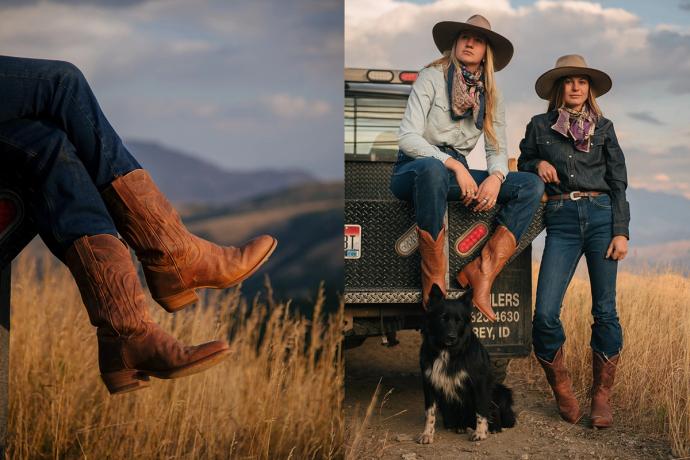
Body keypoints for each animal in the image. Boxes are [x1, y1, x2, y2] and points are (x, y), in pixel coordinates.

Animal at [416, 284, 512, 442]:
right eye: (443, 318)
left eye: (459, 320)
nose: (451, 337)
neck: (447, 351)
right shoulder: (429, 383)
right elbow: (429, 413)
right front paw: (427, 434)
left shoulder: (479, 382)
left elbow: (481, 409)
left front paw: (480, 432)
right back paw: (460, 426)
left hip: (499, 391)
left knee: (493, 410)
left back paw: (493, 428)